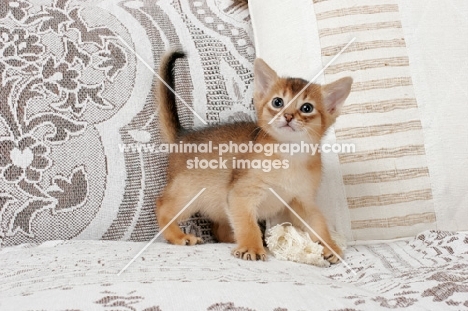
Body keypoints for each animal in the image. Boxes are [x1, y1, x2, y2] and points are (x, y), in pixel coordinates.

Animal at [155, 50, 352, 264]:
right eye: (277, 102)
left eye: (307, 108)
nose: (288, 116)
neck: (289, 155)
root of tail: (182, 136)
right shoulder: (241, 193)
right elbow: (247, 223)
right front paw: (251, 247)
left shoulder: (302, 199)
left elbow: (317, 223)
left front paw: (330, 246)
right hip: (187, 192)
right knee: (162, 207)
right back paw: (179, 236)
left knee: (219, 228)